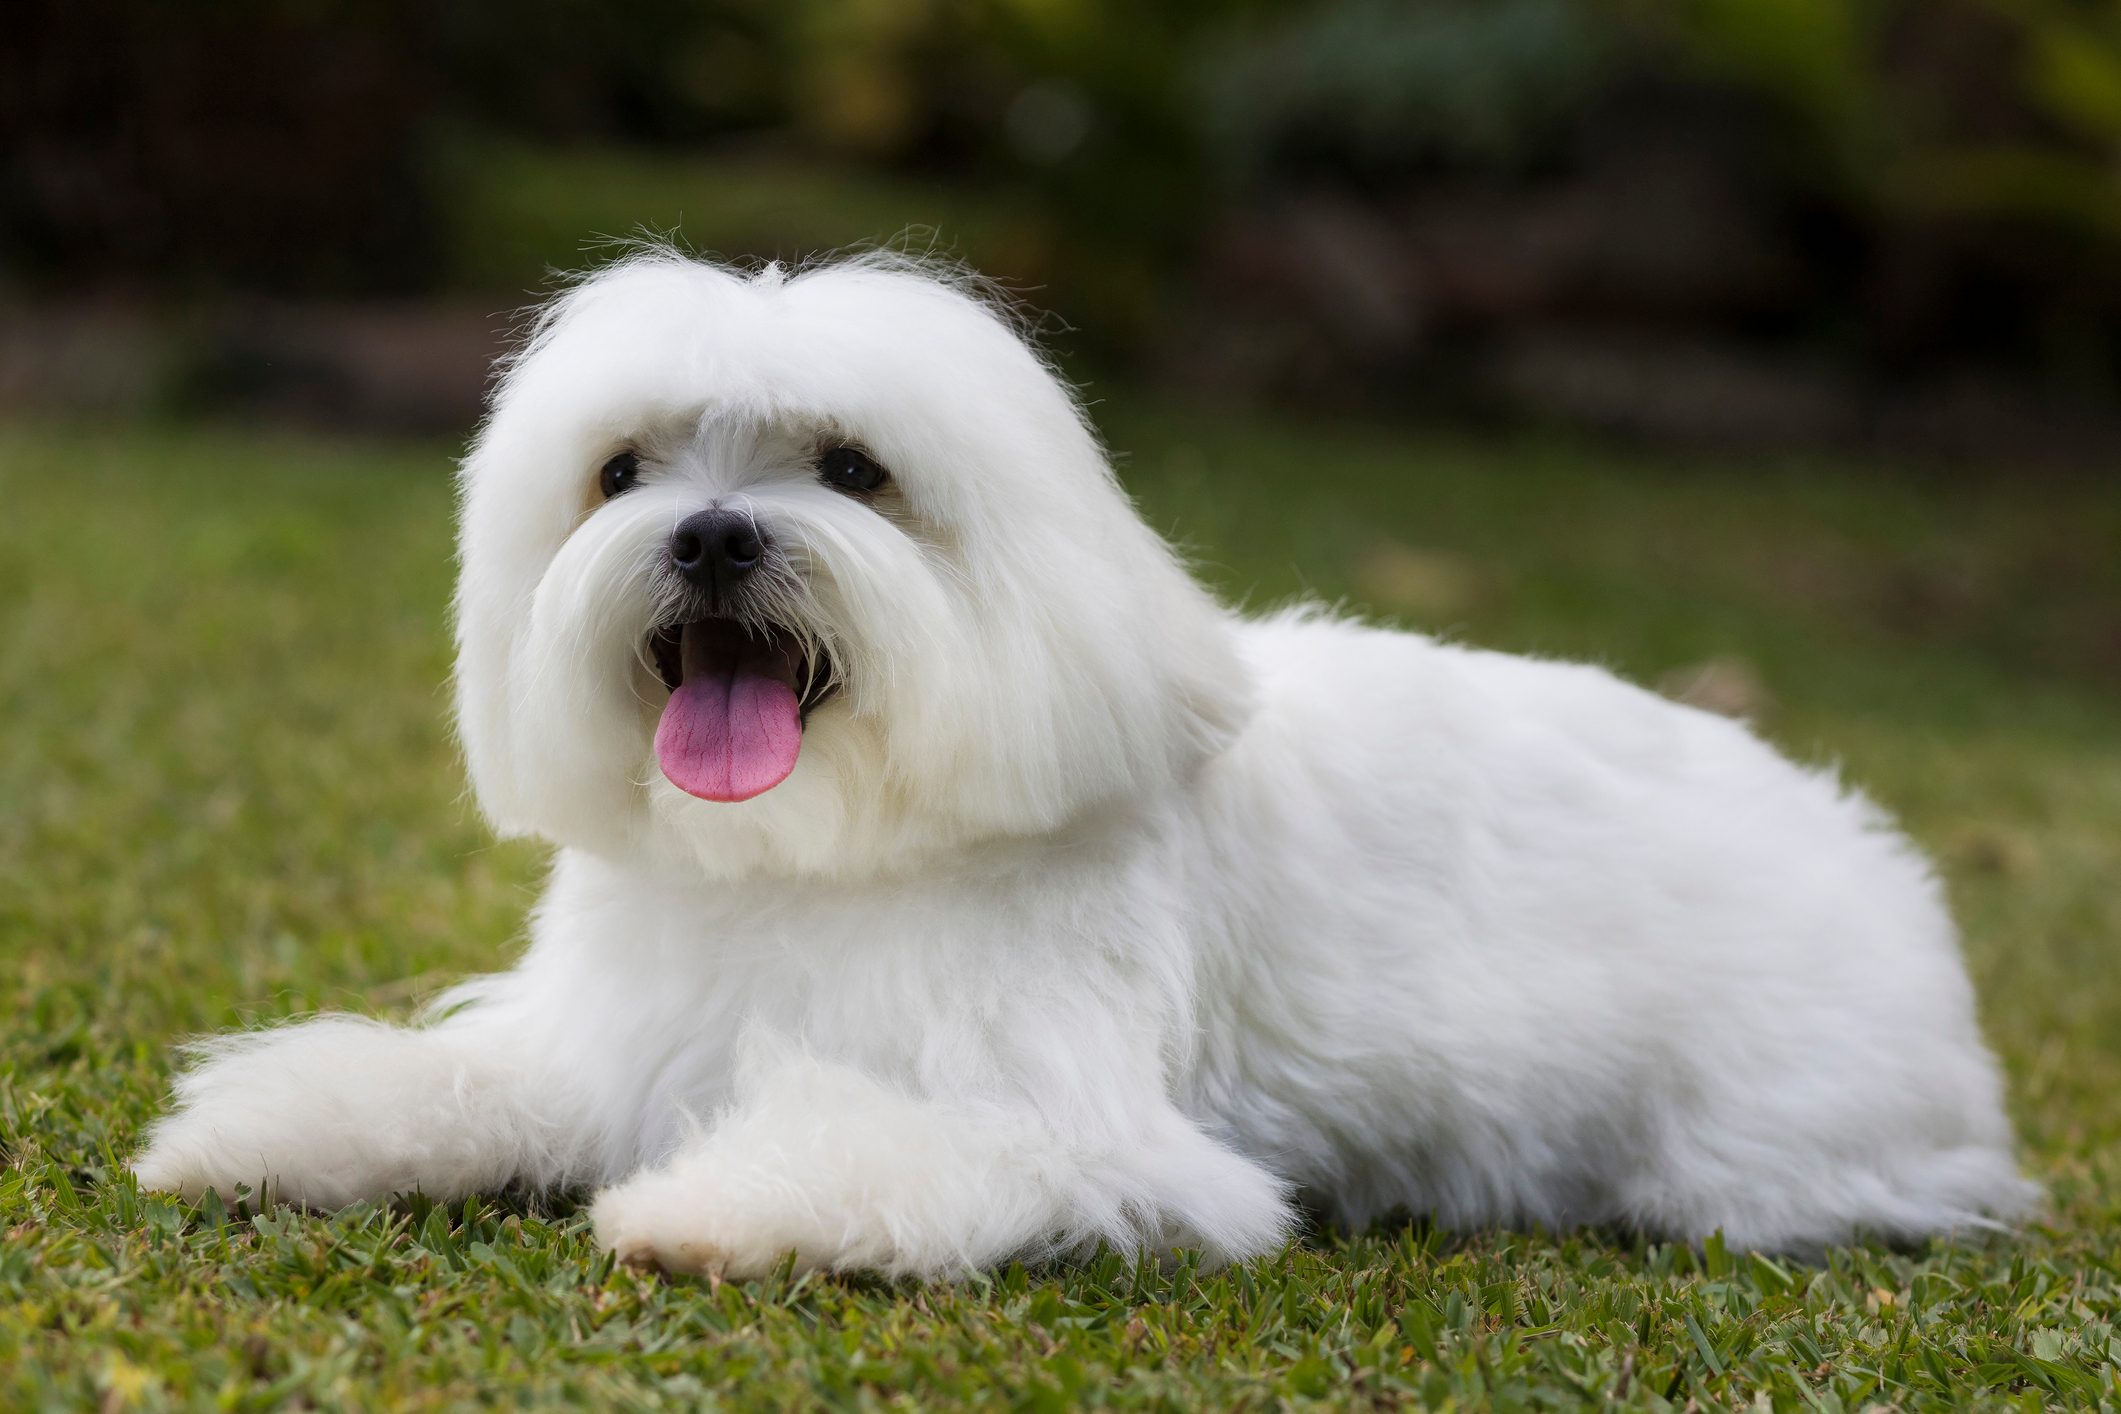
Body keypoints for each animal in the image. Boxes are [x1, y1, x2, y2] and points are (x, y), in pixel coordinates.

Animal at [132, 254, 2036, 1280]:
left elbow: (888, 1150)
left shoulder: (1088, 1137)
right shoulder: (611, 1037)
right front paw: (272, 1124)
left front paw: (705, 1204)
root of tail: (1880, 861)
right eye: (623, 471)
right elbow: (464, 1082)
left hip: (1763, 1150)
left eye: (852, 467)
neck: (826, 852)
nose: (715, 535)